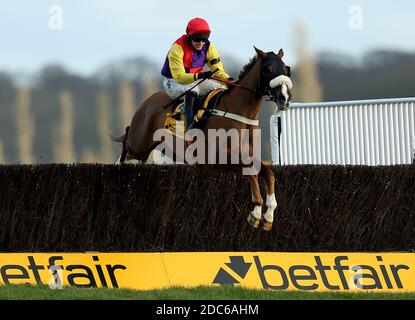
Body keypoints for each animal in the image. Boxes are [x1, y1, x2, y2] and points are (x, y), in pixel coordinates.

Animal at [111, 46, 292, 230]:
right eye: (268, 69)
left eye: (286, 69)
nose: (284, 98)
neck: (238, 112)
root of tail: (147, 101)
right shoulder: (216, 160)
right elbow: (252, 171)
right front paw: (256, 212)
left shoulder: (243, 156)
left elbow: (268, 172)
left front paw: (268, 214)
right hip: (139, 141)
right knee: (126, 140)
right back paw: (118, 164)